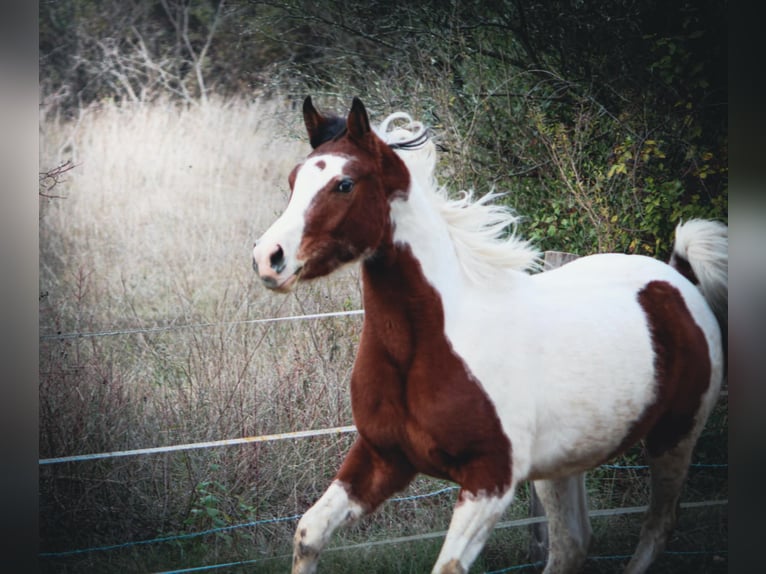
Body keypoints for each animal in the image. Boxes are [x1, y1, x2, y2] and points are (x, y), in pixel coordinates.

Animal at [251, 96, 727, 574]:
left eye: (344, 184)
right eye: (294, 180)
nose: (267, 258)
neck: (428, 347)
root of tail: (676, 278)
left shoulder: (490, 480)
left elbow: (447, 567)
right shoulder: (382, 458)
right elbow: (309, 533)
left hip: (675, 435)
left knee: (657, 527)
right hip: (564, 464)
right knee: (572, 544)